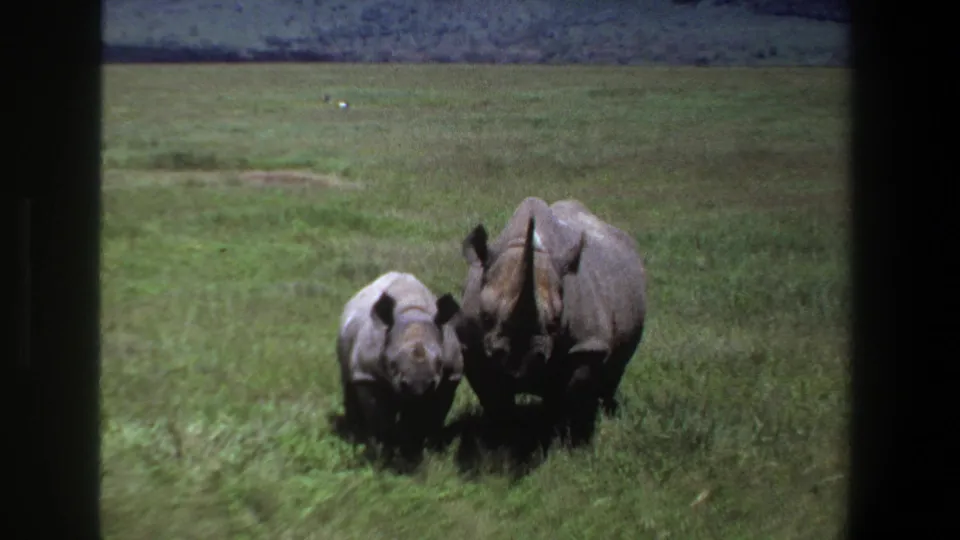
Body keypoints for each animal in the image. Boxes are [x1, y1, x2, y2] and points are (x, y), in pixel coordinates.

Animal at [337, 271, 464, 454]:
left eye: (440, 362)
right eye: (392, 363)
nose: (418, 386)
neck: (413, 311)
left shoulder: (451, 377)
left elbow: (434, 415)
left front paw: (421, 445)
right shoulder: (368, 375)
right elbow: (379, 416)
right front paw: (384, 448)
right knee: (348, 381)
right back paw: (355, 433)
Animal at [456, 197, 647, 440]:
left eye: (555, 322)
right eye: (486, 317)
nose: (522, 363)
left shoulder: (587, 345)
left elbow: (572, 394)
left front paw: (566, 439)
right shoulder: (473, 348)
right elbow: (496, 401)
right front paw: (506, 436)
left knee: (616, 367)